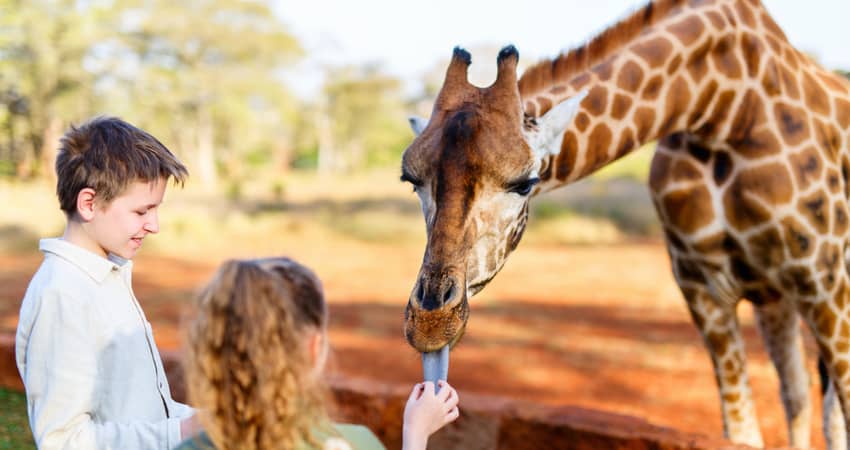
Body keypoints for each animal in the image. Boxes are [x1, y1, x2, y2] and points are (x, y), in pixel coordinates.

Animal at [400, 0, 848, 446]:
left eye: (525, 182)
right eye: (410, 179)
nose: (430, 324)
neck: (718, 108)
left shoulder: (824, 283)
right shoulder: (704, 290)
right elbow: (743, 431)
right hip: (773, 296)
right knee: (797, 391)